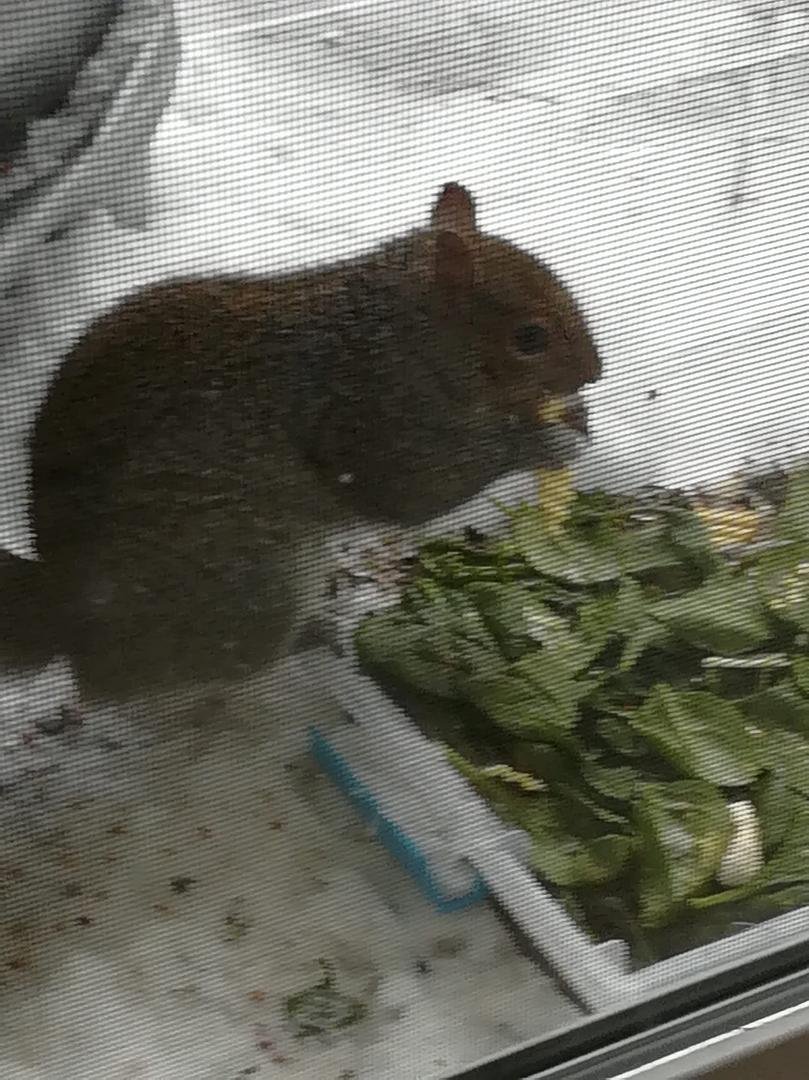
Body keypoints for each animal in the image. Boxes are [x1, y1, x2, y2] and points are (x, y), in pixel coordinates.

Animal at [2, 182, 600, 701]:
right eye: (529, 338)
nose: (595, 373)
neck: (407, 338)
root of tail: (66, 614)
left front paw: (571, 418)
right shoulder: (374, 411)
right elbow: (411, 489)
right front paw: (538, 443)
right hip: (251, 582)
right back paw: (304, 639)